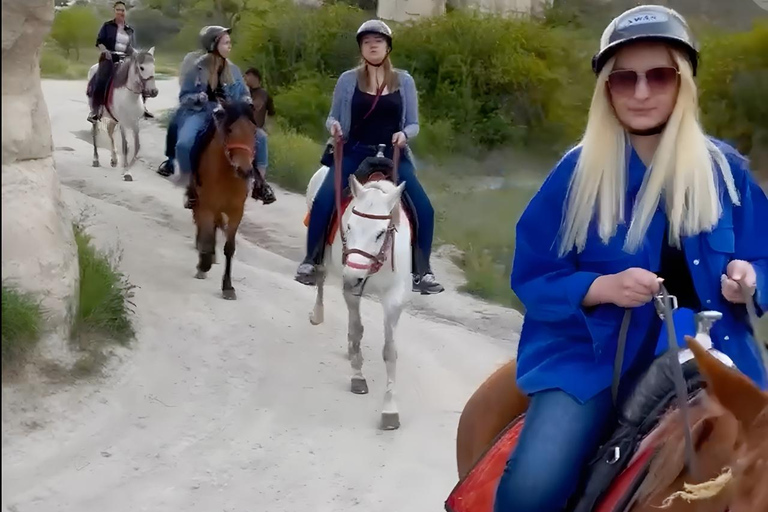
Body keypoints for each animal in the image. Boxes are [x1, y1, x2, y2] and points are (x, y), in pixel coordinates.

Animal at [86, 47, 158, 180]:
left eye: (153, 66)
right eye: (142, 68)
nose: (154, 91)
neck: (130, 96)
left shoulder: (135, 123)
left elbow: (137, 146)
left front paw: (127, 169)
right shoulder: (123, 123)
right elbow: (125, 146)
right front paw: (127, 172)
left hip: (113, 119)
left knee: (110, 132)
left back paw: (114, 160)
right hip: (97, 115)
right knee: (95, 133)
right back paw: (96, 159)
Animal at [191, 100, 257, 300]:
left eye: (254, 131)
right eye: (229, 130)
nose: (244, 170)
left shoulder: (236, 212)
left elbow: (230, 248)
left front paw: (228, 287)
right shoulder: (207, 206)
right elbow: (206, 236)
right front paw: (203, 265)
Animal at [303, 150, 412, 431]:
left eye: (381, 232)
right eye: (349, 226)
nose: (353, 275)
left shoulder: (394, 298)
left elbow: (390, 351)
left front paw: (389, 410)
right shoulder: (350, 289)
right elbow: (356, 329)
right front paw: (358, 377)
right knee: (320, 278)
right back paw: (318, 314)